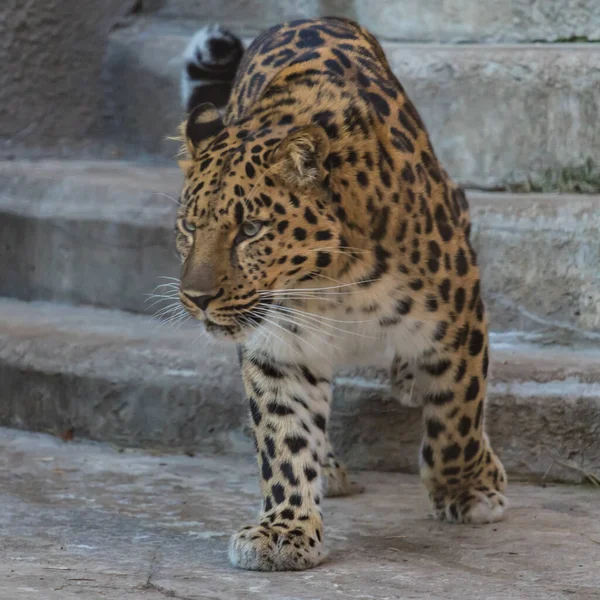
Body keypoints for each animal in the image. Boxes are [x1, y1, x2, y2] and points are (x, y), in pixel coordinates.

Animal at [173, 16, 506, 572]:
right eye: (188, 227)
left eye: (250, 229)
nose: (196, 297)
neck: (328, 283)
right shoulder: (278, 347)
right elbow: (284, 437)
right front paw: (285, 529)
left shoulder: (457, 311)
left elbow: (458, 412)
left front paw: (469, 489)